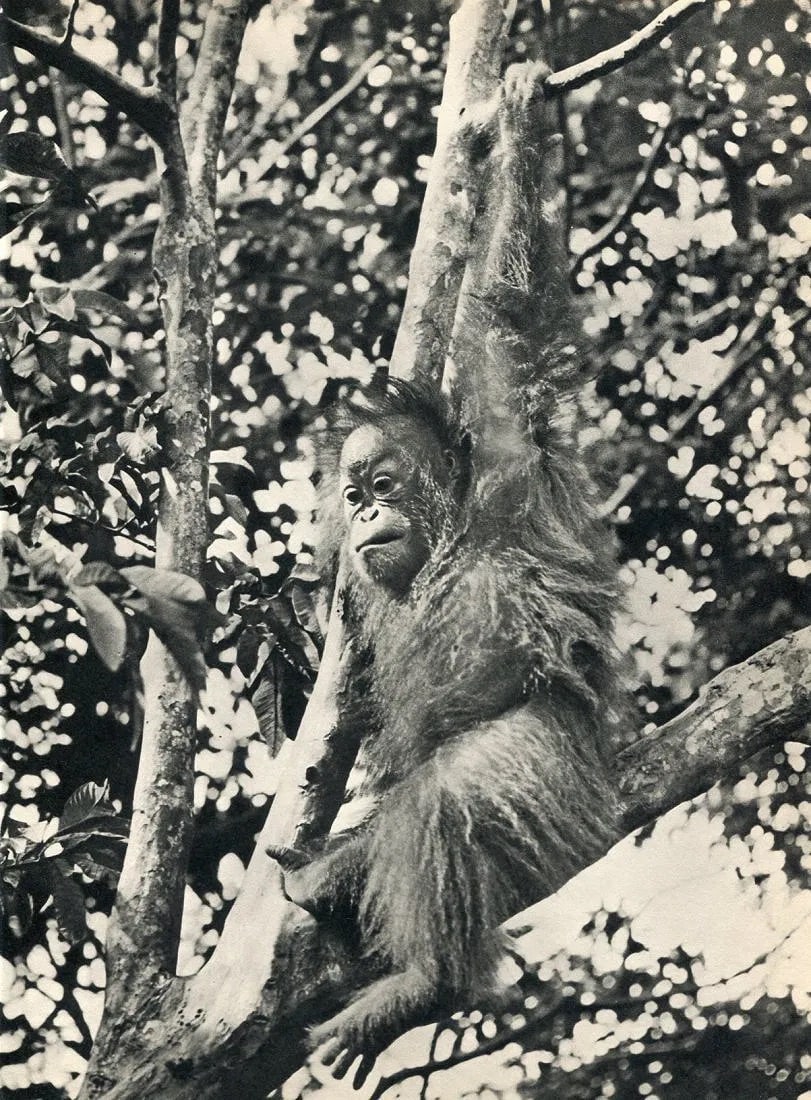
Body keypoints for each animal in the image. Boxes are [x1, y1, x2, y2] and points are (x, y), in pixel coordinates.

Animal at [267, 63, 624, 1087]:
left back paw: (428, 983)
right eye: (354, 493)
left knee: (442, 799)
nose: (365, 514)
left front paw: (517, 116)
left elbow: (507, 314)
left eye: (383, 484)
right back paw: (328, 886)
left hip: (547, 753)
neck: (448, 539)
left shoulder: (508, 453)